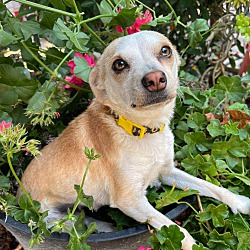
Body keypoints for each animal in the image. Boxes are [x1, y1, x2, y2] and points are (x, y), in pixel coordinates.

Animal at [16, 31, 249, 250]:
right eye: (119, 64)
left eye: (165, 51)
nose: (154, 79)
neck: (144, 130)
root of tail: (18, 194)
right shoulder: (130, 200)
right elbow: (174, 228)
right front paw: (193, 245)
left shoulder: (168, 171)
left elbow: (210, 186)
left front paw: (241, 202)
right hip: (54, 220)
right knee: (78, 225)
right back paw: (104, 227)